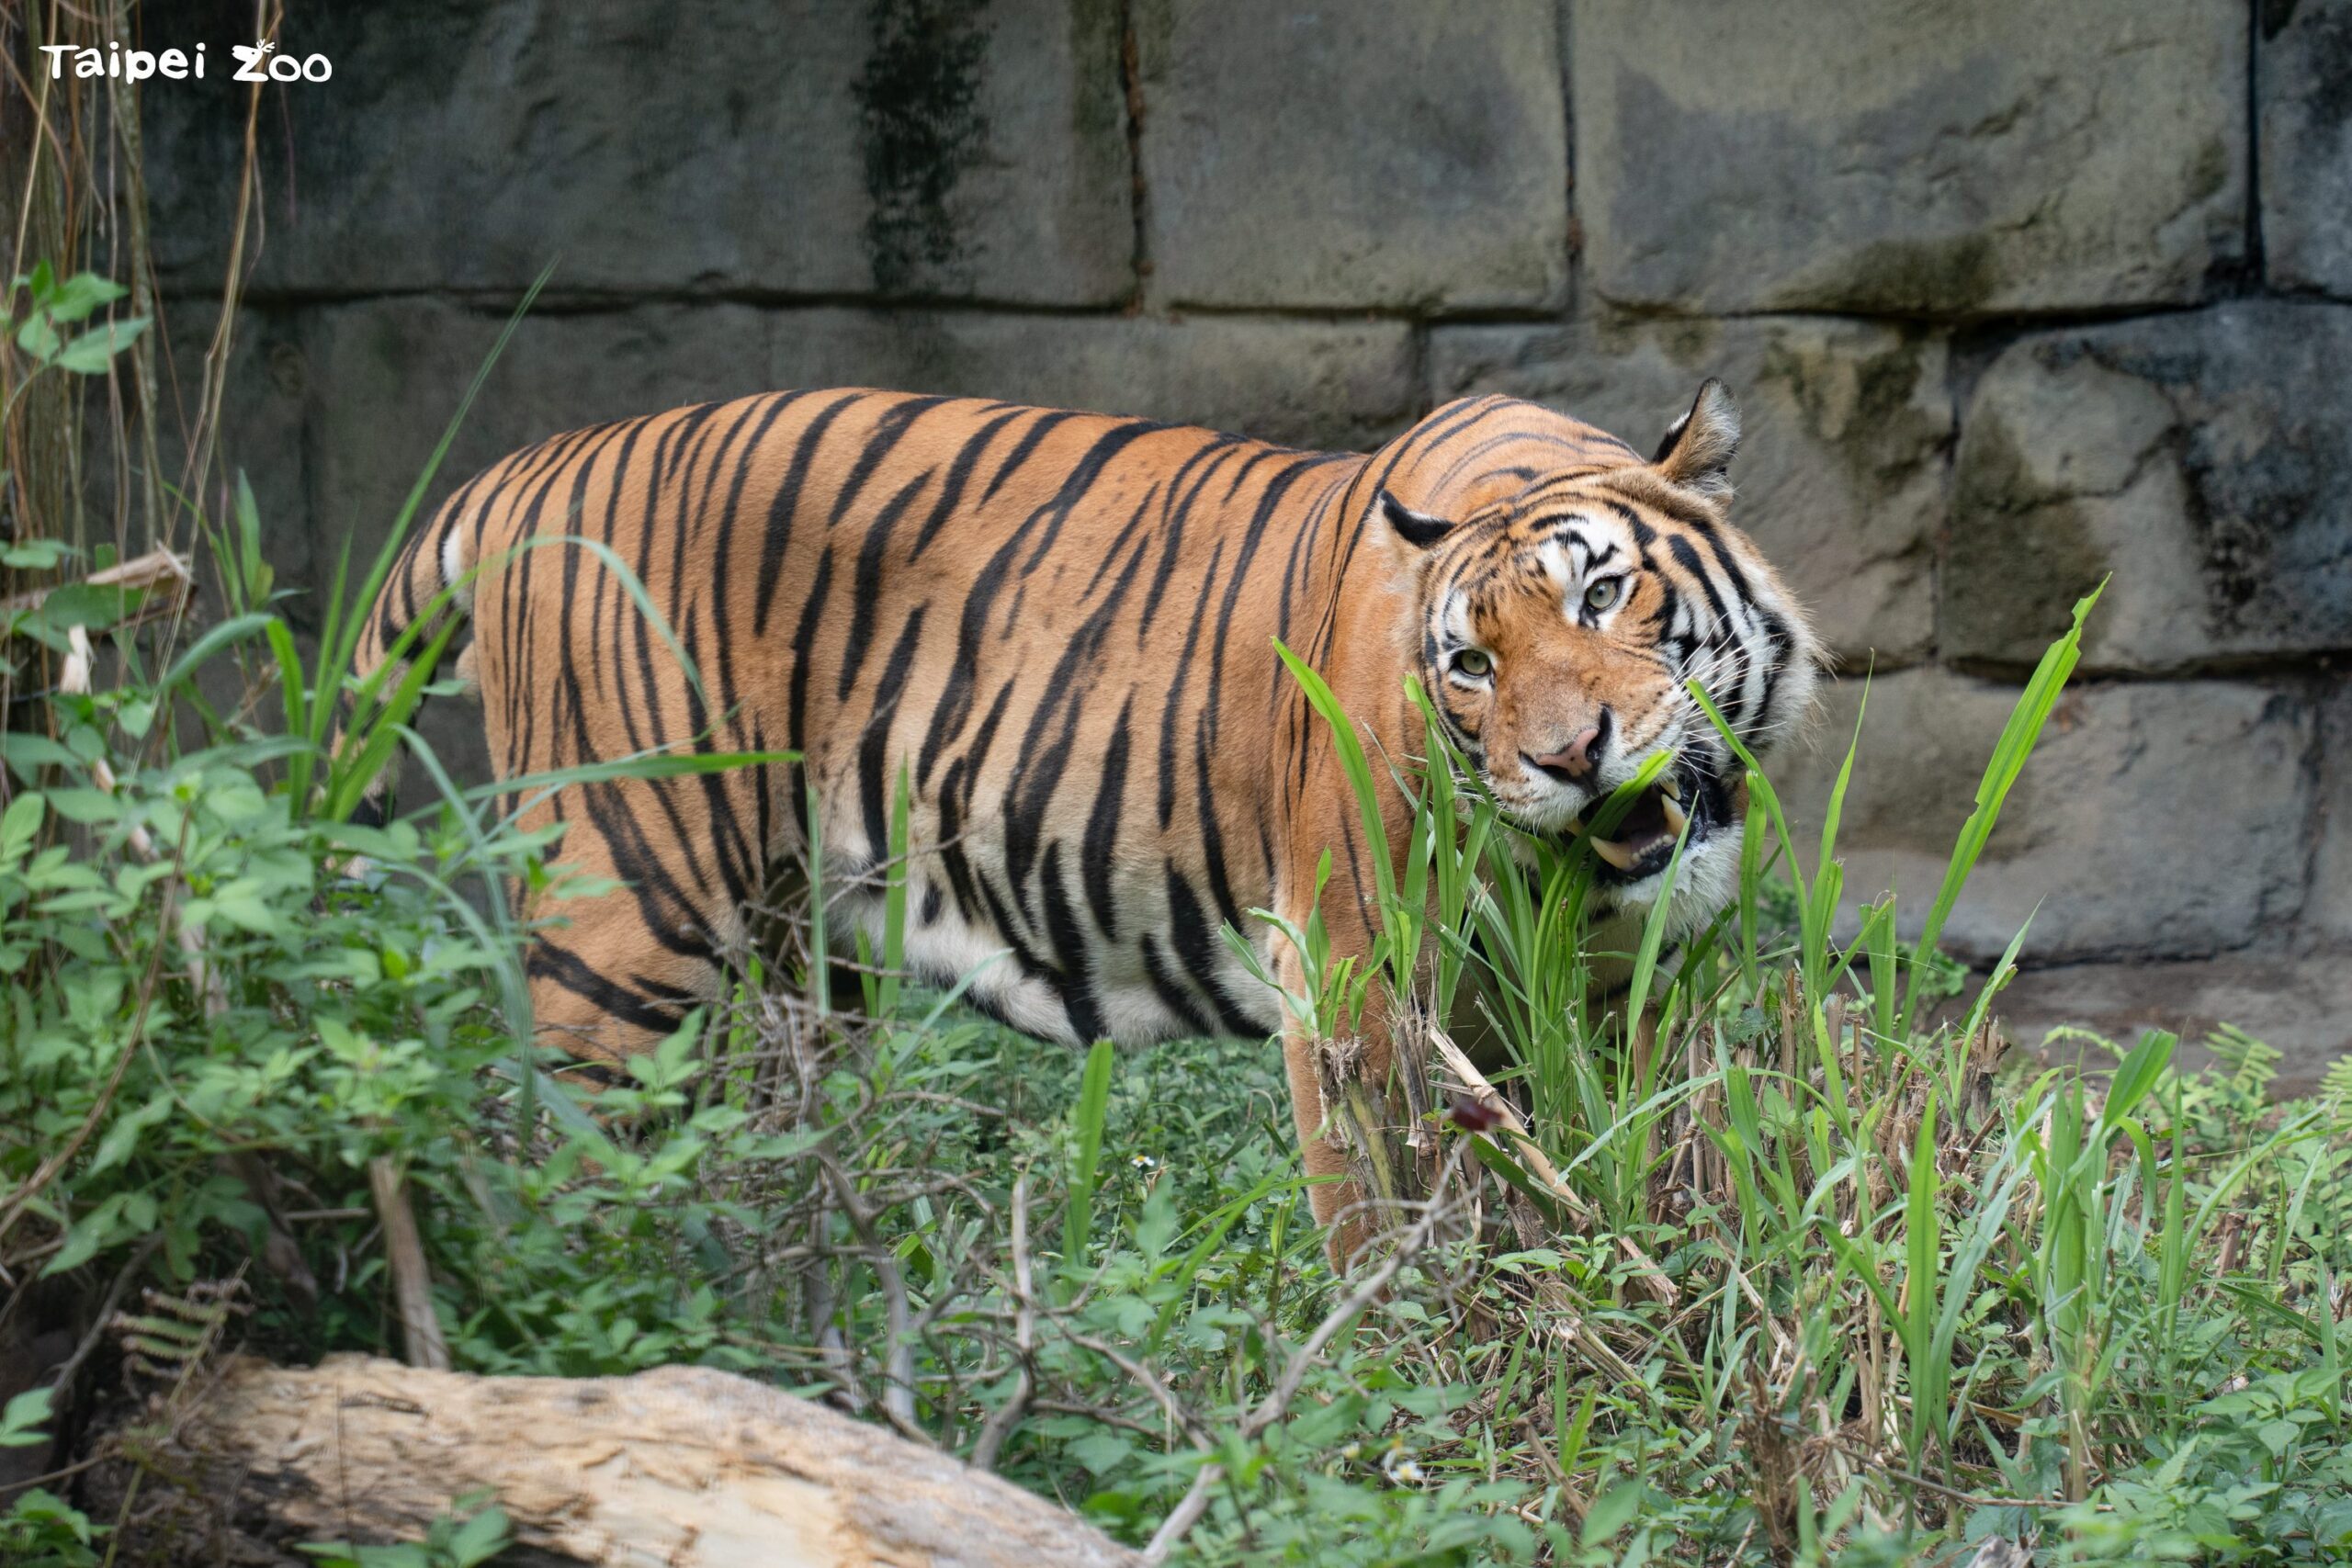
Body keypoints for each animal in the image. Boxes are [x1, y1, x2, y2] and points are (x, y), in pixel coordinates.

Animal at [346, 379, 1820, 1251]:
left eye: (1602, 595)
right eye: (1471, 662)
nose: (1571, 757)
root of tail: (532, 469)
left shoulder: (1632, 988)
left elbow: (1636, 1154)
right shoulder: (1350, 975)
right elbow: (1384, 1216)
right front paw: (1410, 1369)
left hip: (790, 971)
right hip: (627, 923)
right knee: (558, 1160)